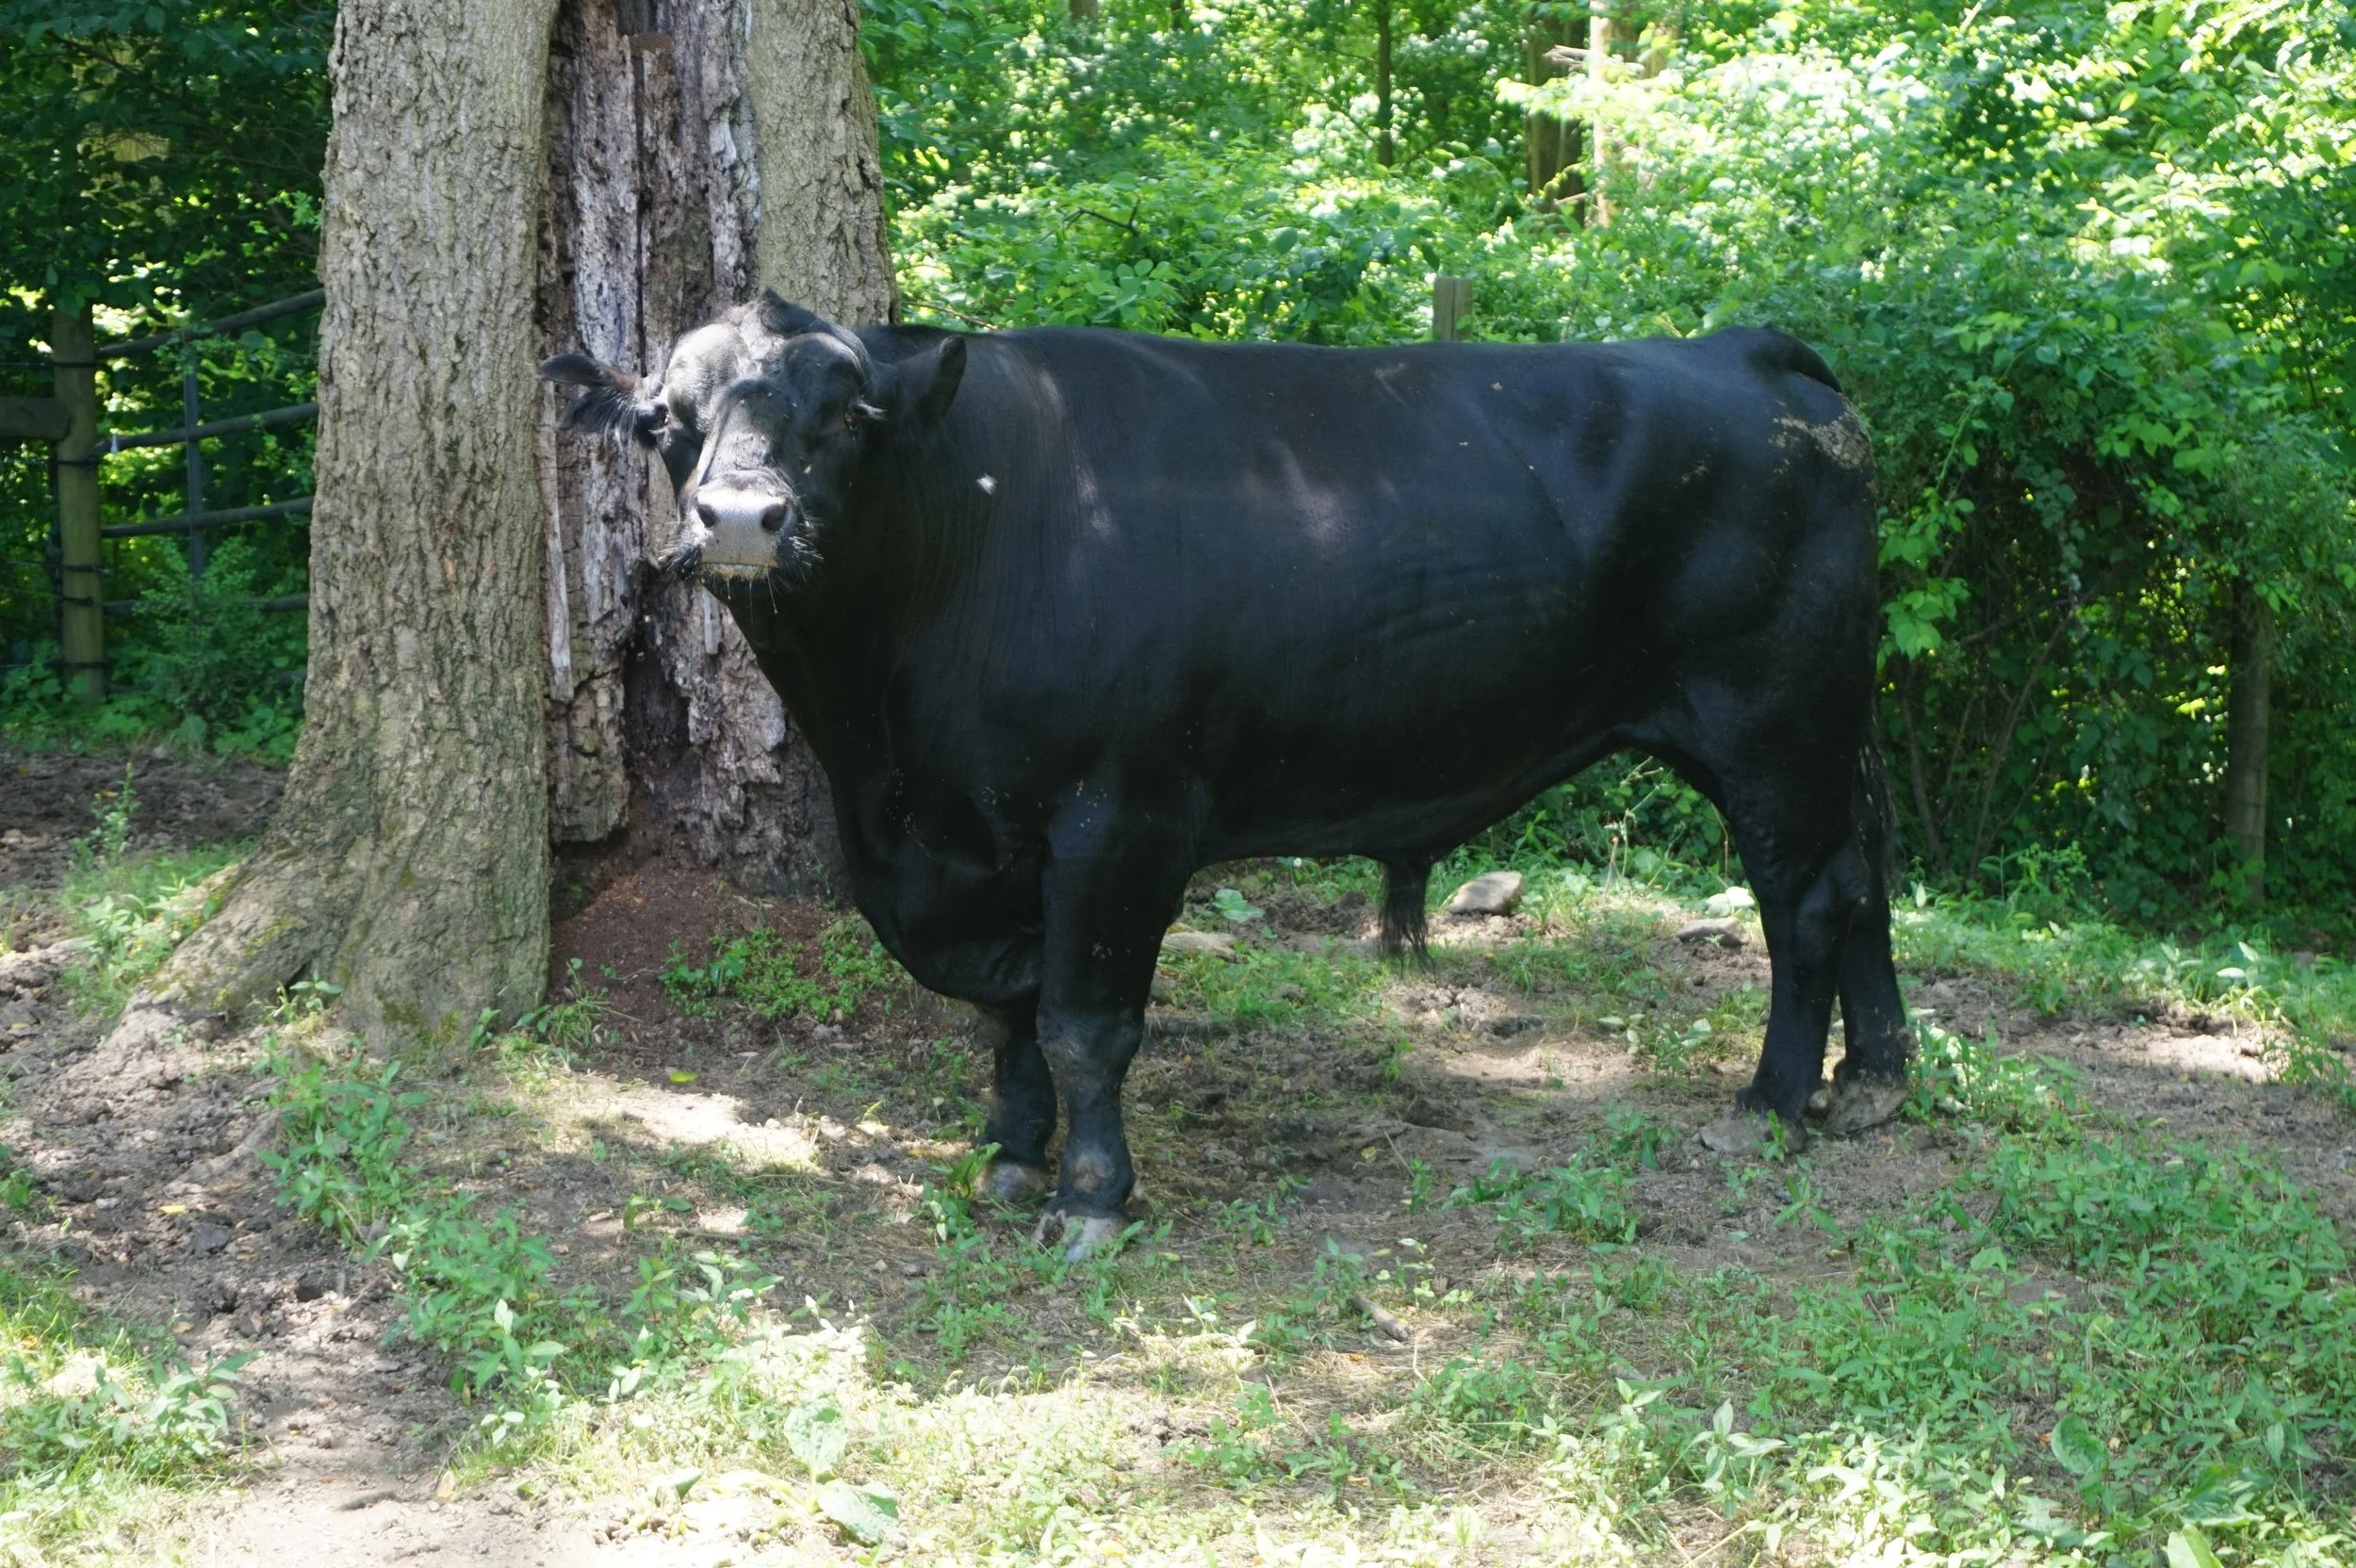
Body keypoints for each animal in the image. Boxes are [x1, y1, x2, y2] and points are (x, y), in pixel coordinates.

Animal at [543, 292, 1912, 1255]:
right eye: (667, 419)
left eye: (844, 419)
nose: (740, 518)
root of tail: (1746, 351)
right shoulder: (970, 849)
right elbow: (1008, 1016)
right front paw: (1010, 1153)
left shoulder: (1119, 820)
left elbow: (1084, 1022)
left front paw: (1091, 1199)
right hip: (1819, 734)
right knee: (1865, 884)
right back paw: (1875, 1081)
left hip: (1771, 724)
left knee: (1803, 905)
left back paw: (1770, 1104)